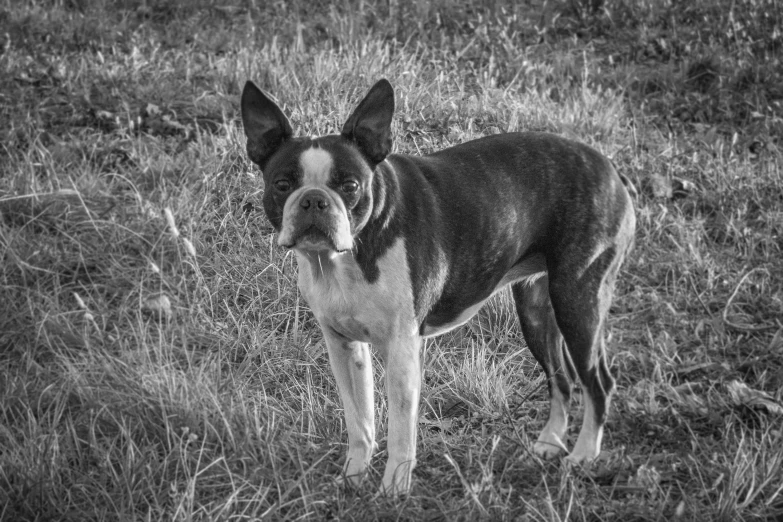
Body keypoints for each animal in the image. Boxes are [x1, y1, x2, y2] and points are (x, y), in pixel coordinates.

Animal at [239, 77, 636, 492]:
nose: (314, 200)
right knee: (562, 378)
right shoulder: (344, 347)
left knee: (598, 382)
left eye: (350, 186)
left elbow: (400, 428)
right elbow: (359, 420)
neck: (343, 258)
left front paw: (393, 489)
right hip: (536, 312)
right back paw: (549, 444)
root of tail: (611, 169)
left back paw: (582, 456)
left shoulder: (402, 348)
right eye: (282, 184)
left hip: (577, 299)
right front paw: (353, 478)